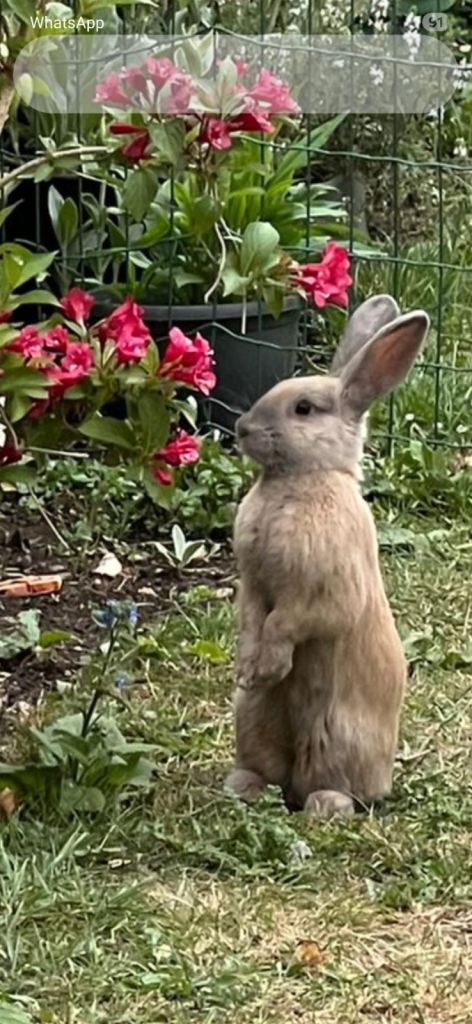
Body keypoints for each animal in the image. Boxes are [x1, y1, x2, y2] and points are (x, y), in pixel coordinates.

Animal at [225, 296, 429, 818]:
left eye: (304, 409)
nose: (241, 428)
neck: (300, 479)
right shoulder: (253, 584)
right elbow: (253, 618)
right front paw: (249, 667)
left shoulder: (322, 593)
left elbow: (288, 622)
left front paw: (270, 667)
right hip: (252, 718)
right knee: (267, 770)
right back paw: (241, 787)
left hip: (337, 737)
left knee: (336, 786)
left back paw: (323, 807)